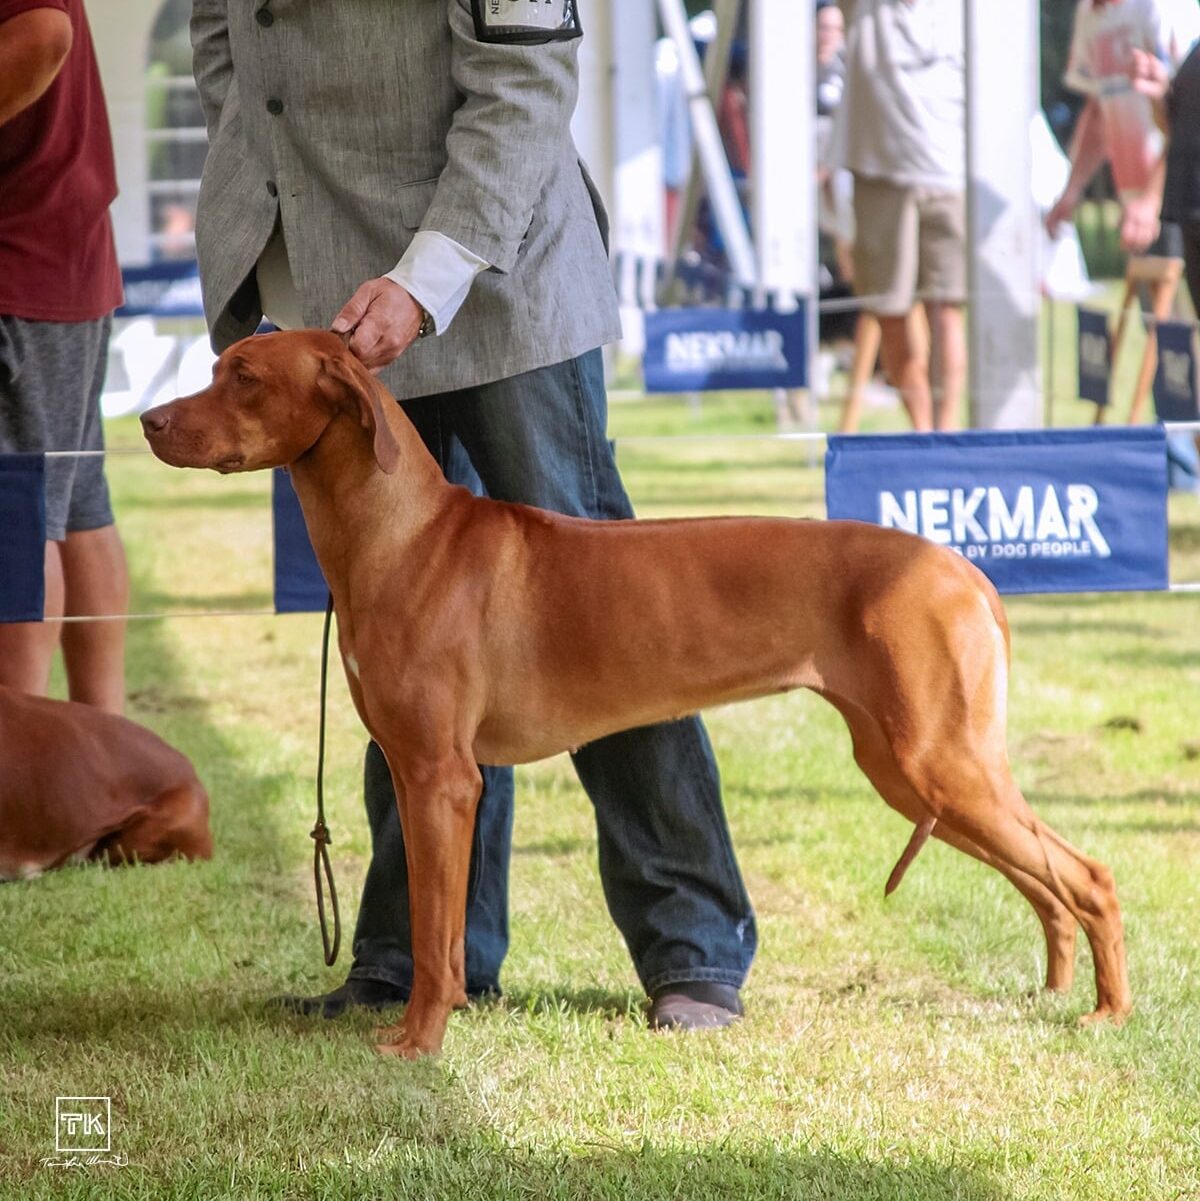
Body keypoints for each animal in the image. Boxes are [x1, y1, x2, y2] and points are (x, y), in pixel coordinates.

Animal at [142, 331, 1133, 1061]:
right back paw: (1051, 991)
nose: (149, 420)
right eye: (218, 366)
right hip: (913, 767)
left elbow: (431, 934)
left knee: (1088, 873)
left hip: (936, 760)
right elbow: (445, 936)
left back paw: (1107, 1014)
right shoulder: (429, 773)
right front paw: (443, 1018)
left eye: (244, 376)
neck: (406, 534)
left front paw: (417, 1043)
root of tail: (960, 566)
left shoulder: (439, 776)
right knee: (1045, 877)